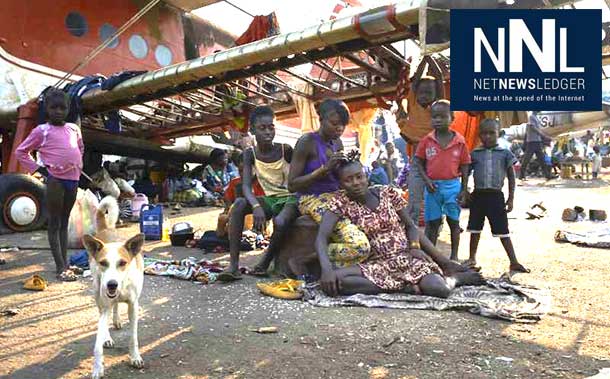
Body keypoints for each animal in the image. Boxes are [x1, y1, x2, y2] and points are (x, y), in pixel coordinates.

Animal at [83, 197, 145, 378]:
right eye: (103, 263)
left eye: (123, 263)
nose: (111, 284)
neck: (122, 286)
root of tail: (107, 229)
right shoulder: (105, 304)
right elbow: (97, 345)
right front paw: (97, 367)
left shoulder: (134, 305)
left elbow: (133, 337)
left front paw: (135, 357)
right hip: (97, 293)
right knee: (108, 309)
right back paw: (108, 337)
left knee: (116, 306)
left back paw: (117, 320)